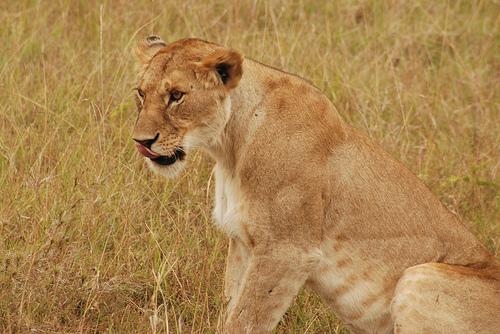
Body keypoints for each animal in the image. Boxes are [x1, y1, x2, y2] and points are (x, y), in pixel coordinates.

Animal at [132, 35, 500, 332]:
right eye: (141, 93)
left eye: (176, 95)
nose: (141, 141)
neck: (230, 146)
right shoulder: (243, 241)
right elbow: (230, 308)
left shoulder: (287, 250)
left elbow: (245, 320)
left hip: (419, 277)